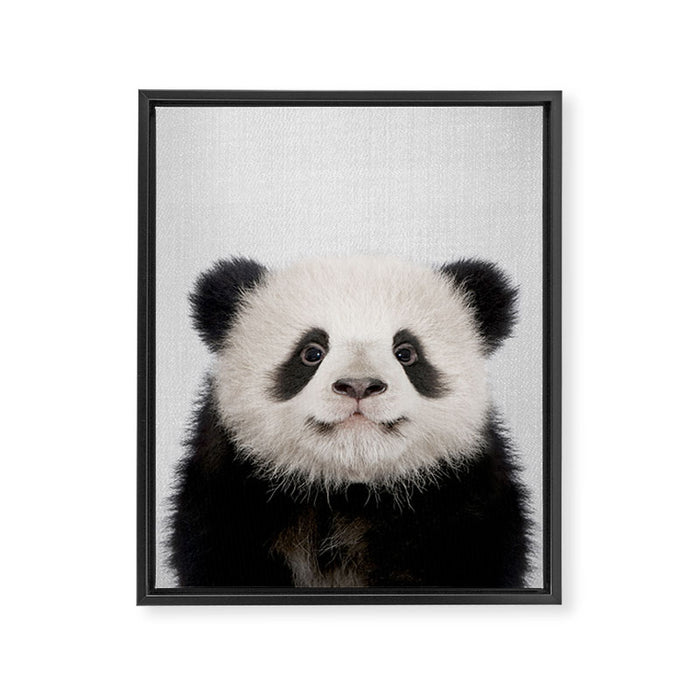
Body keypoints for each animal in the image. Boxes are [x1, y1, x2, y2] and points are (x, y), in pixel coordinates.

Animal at [168, 255, 531, 588]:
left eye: (406, 352)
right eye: (311, 352)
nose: (359, 385)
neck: (348, 494)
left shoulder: (464, 505)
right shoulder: (231, 499)